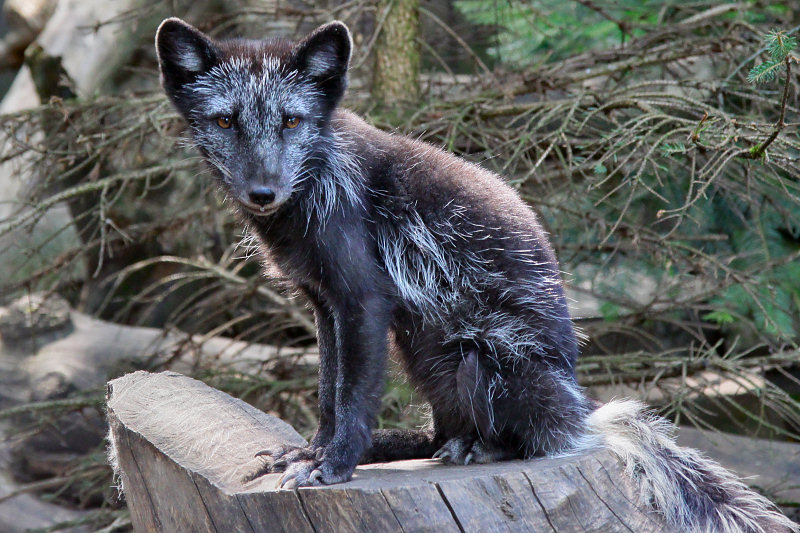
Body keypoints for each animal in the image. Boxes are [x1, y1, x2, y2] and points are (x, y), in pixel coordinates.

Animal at [155, 17, 792, 532]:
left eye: (291, 121)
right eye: (225, 121)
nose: (262, 192)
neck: (316, 188)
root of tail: (585, 414)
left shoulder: (362, 299)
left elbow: (351, 399)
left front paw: (333, 465)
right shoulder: (323, 302)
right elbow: (328, 395)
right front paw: (313, 453)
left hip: (478, 360)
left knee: (533, 444)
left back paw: (479, 451)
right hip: (423, 352)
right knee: (439, 437)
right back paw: (402, 448)